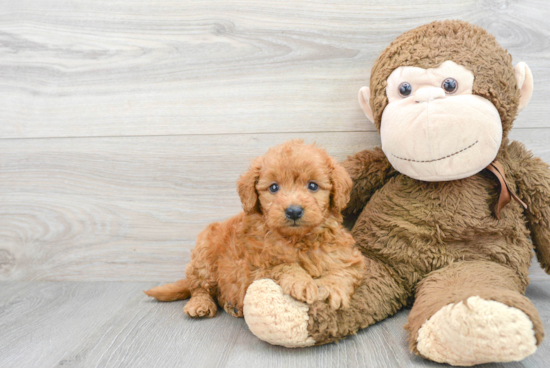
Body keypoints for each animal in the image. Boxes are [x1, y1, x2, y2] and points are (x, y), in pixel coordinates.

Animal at [146, 139, 366, 318]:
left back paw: (231, 306)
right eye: (274, 187)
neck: (297, 240)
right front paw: (301, 282)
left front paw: (332, 290)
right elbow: (283, 265)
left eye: (313, 186)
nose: (294, 211)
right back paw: (201, 304)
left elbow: (344, 271)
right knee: (200, 287)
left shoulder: (348, 257)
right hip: (203, 255)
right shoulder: (255, 269)